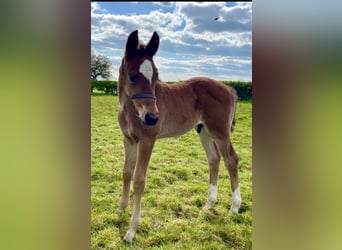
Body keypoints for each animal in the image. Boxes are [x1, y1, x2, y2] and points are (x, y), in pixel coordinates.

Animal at [116, 29, 239, 242]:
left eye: (156, 76)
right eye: (132, 76)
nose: (152, 118)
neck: (131, 110)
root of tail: (229, 88)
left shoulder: (147, 140)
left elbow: (139, 180)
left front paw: (131, 230)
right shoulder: (129, 140)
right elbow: (126, 173)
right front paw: (121, 209)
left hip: (220, 132)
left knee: (231, 159)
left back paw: (234, 208)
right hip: (204, 130)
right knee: (214, 159)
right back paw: (209, 204)